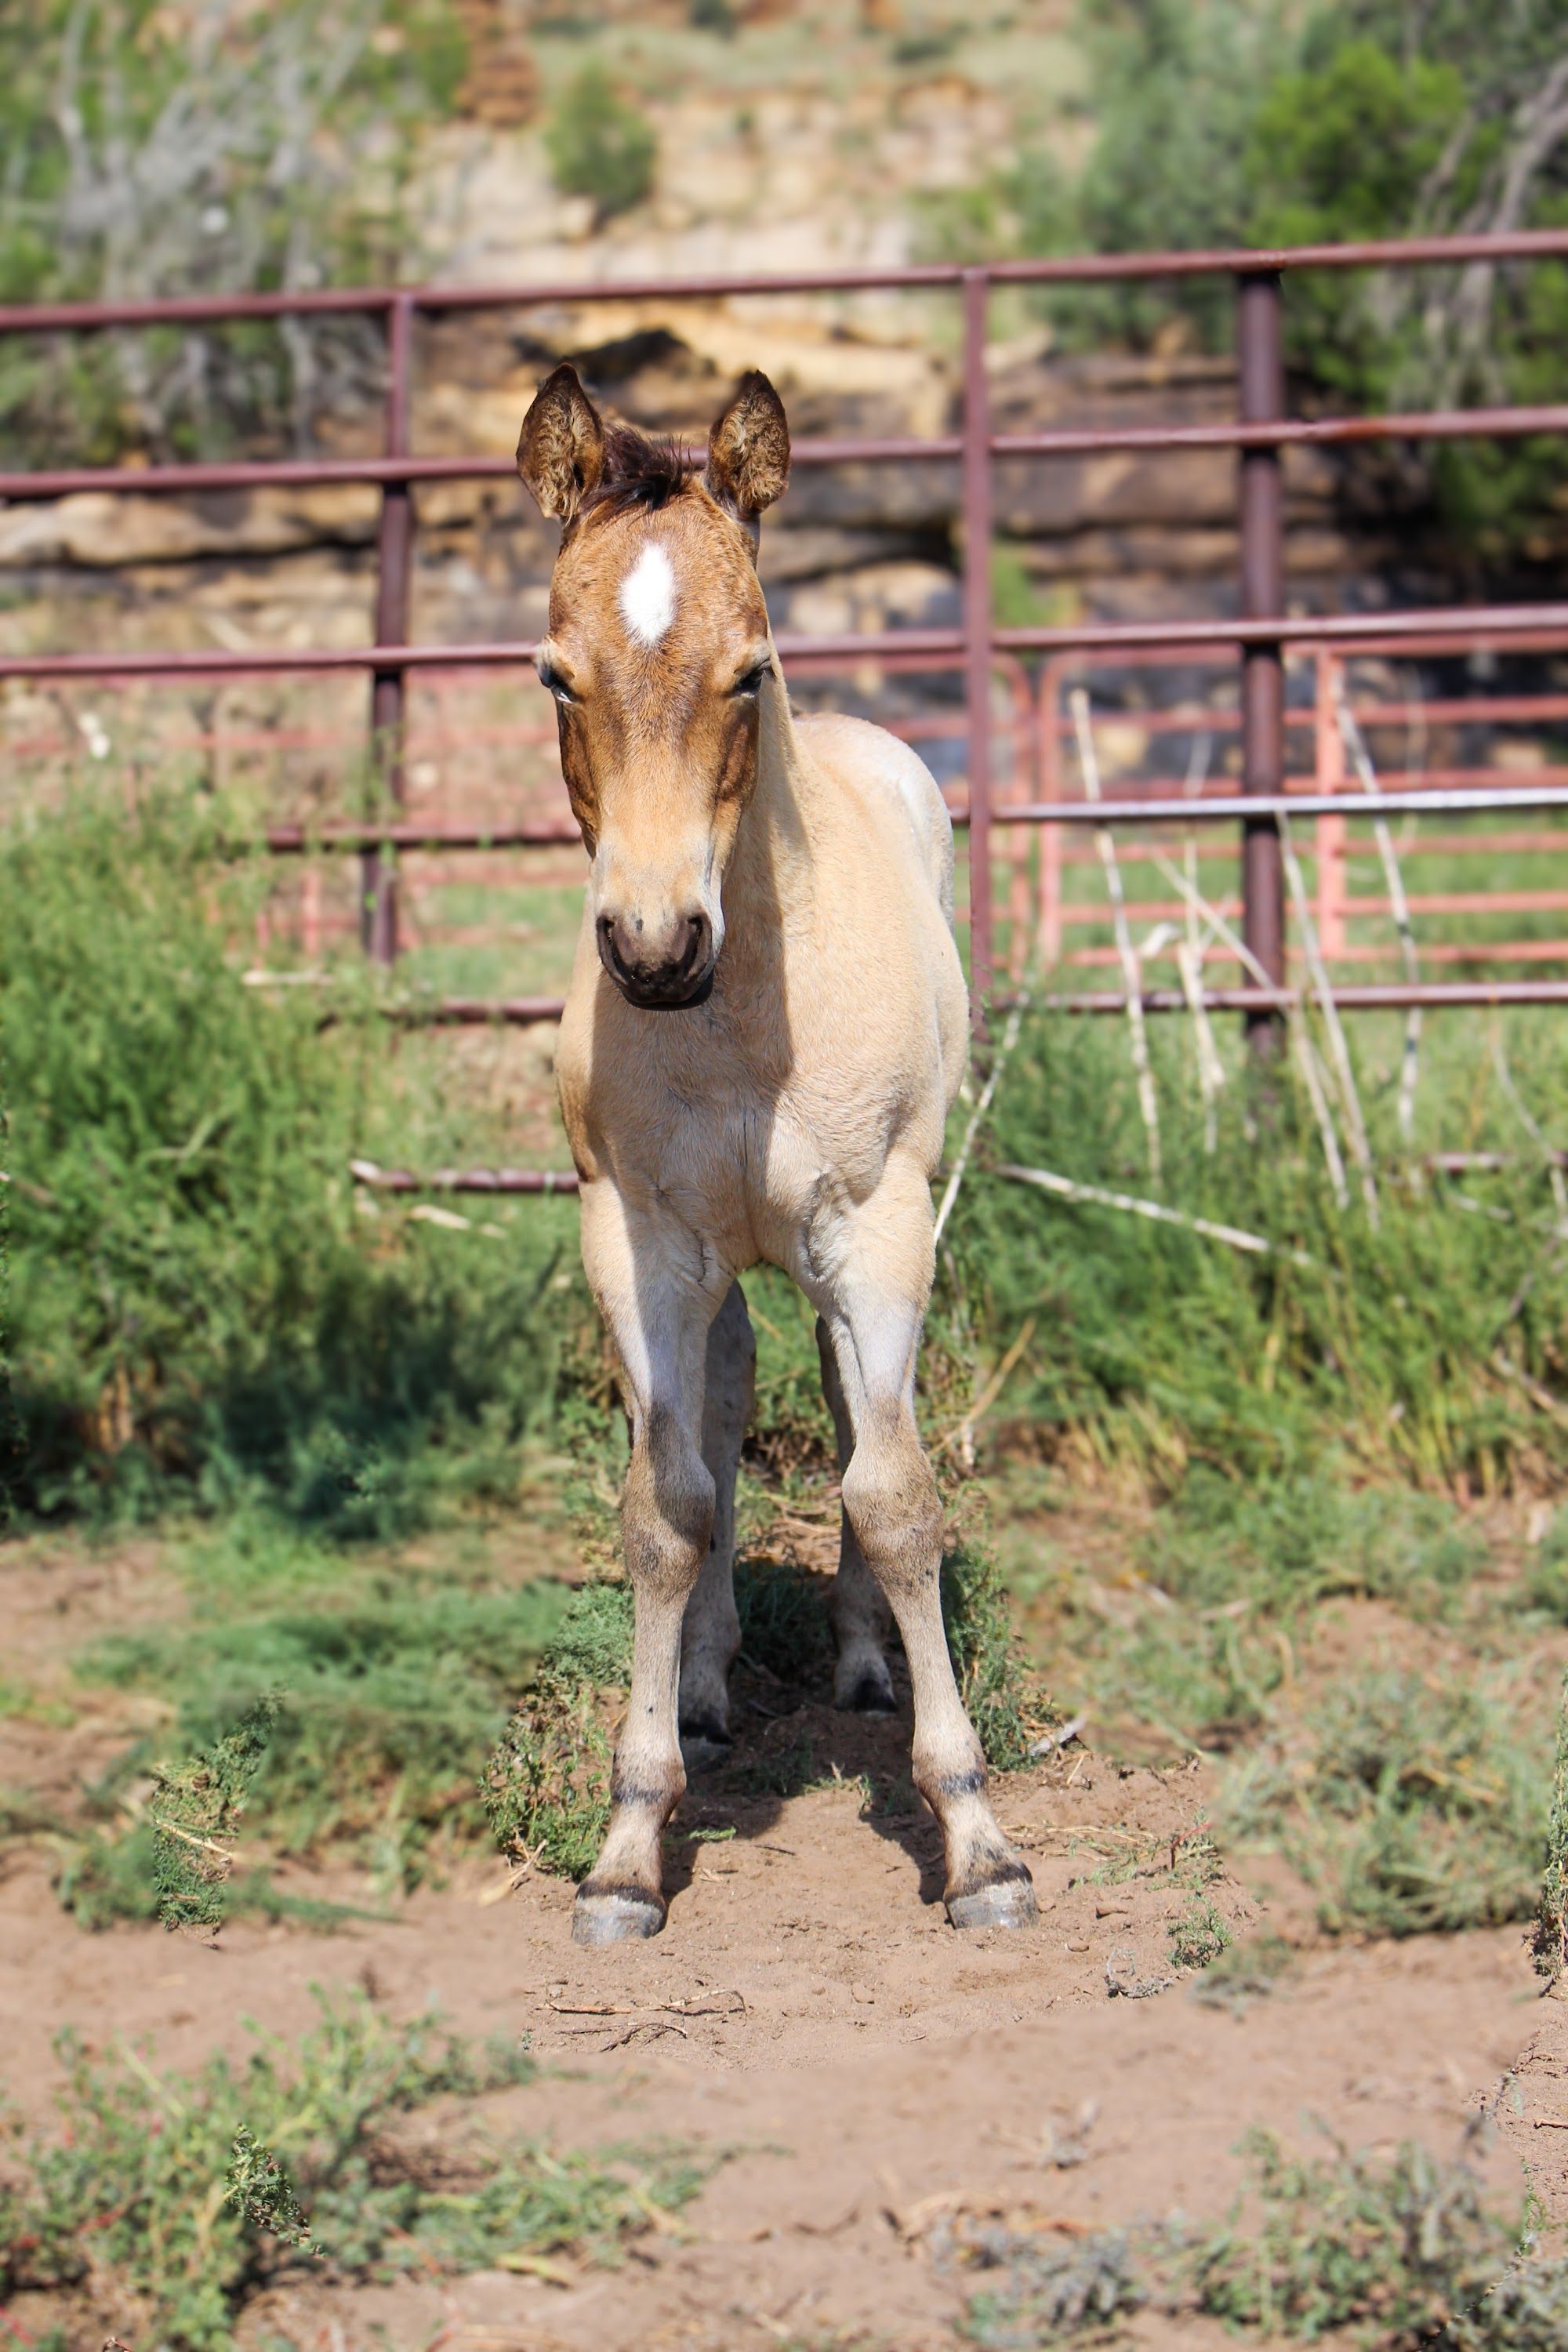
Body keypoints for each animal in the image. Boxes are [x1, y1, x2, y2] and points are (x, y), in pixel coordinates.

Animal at [516, 360, 1038, 1947]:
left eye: (750, 670)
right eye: (555, 677)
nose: (653, 946)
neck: (741, 1012)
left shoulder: (874, 1227)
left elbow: (897, 1493)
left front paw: (979, 1842)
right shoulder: (635, 1241)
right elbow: (665, 1506)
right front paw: (628, 1846)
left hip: (857, 1238)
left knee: (853, 1409)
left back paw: (866, 1665)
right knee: (733, 1394)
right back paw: (701, 1686)